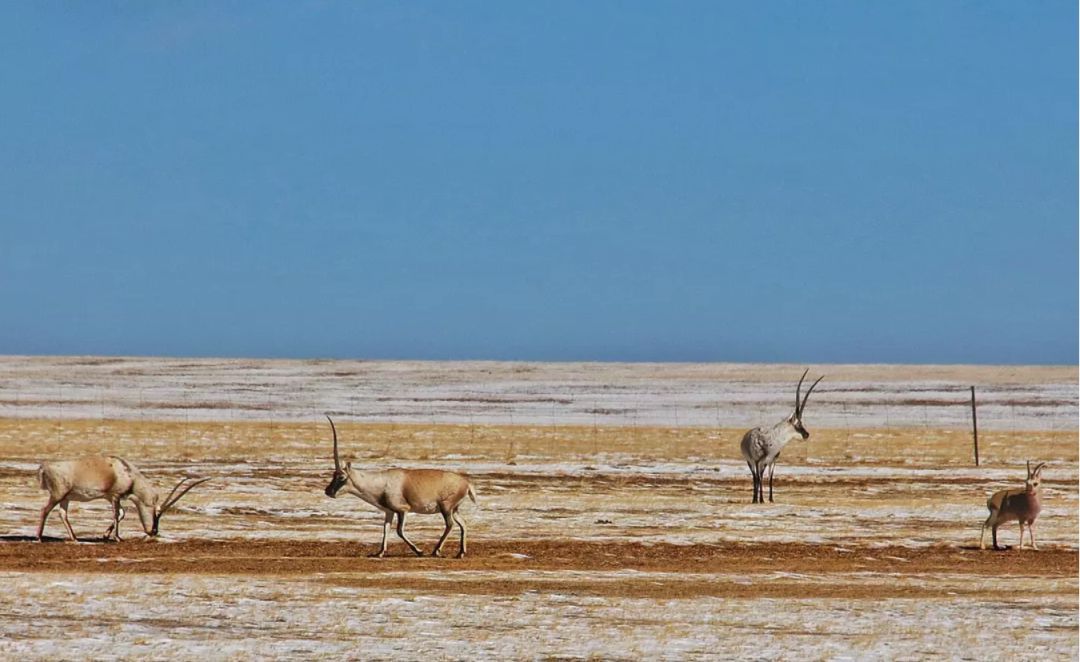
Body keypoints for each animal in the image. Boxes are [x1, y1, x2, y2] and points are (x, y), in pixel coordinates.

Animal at [36, 453, 209, 542]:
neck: (128, 473)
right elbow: (116, 515)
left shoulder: (109, 497)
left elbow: (121, 514)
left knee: (62, 514)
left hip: (65, 498)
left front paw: (105, 535)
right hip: (58, 495)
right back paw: (39, 537)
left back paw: (75, 538)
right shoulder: (115, 495)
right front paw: (118, 537)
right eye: (156, 513)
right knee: (45, 510)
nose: (153, 531)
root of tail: (45, 467)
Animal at [317, 414, 475, 552]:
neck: (381, 482)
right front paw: (379, 553)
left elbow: (399, 531)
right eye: (333, 475)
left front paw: (418, 551)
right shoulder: (389, 512)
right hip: (454, 509)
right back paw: (460, 553)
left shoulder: (402, 510)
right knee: (463, 524)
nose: (328, 491)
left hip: (446, 507)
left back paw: (436, 551)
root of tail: (466, 483)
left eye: (341, 477)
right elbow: (385, 529)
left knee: (450, 525)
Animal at [743, 369, 825, 503]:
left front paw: (770, 499)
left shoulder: (771, 461)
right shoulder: (758, 461)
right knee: (755, 477)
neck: (773, 439)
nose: (806, 435)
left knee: (758, 476)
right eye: (798, 424)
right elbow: (759, 478)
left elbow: (770, 477)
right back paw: (755, 499)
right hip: (750, 461)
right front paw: (760, 499)